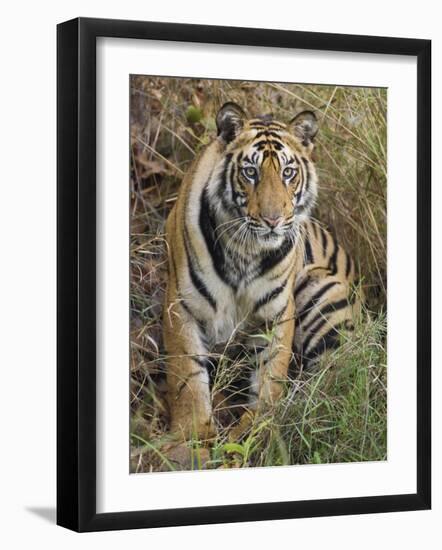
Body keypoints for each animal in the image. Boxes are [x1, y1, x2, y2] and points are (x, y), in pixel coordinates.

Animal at [164, 101, 360, 442]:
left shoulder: (277, 312)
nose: (272, 220)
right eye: (250, 172)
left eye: (288, 173)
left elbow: (270, 376)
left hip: (322, 291)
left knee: (334, 382)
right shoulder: (180, 305)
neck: (244, 250)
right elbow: (186, 377)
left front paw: (258, 429)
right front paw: (192, 438)